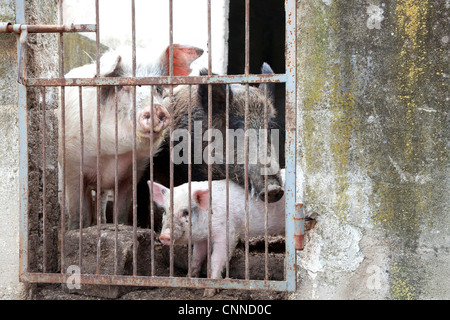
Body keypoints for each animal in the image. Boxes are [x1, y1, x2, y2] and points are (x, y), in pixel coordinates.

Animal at [59, 45, 203, 230]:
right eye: (123, 86)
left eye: (158, 88)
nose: (156, 108)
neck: (112, 154)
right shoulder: (72, 165)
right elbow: (78, 210)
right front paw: (77, 229)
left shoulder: (133, 172)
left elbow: (121, 211)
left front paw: (118, 225)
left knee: (102, 198)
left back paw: (102, 222)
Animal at [149, 169, 286, 296]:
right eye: (165, 211)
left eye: (186, 212)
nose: (164, 236)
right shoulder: (202, 239)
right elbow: (196, 257)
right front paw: (189, 279)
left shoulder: (227, 233)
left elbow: (216, 259)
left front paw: (208, 292)